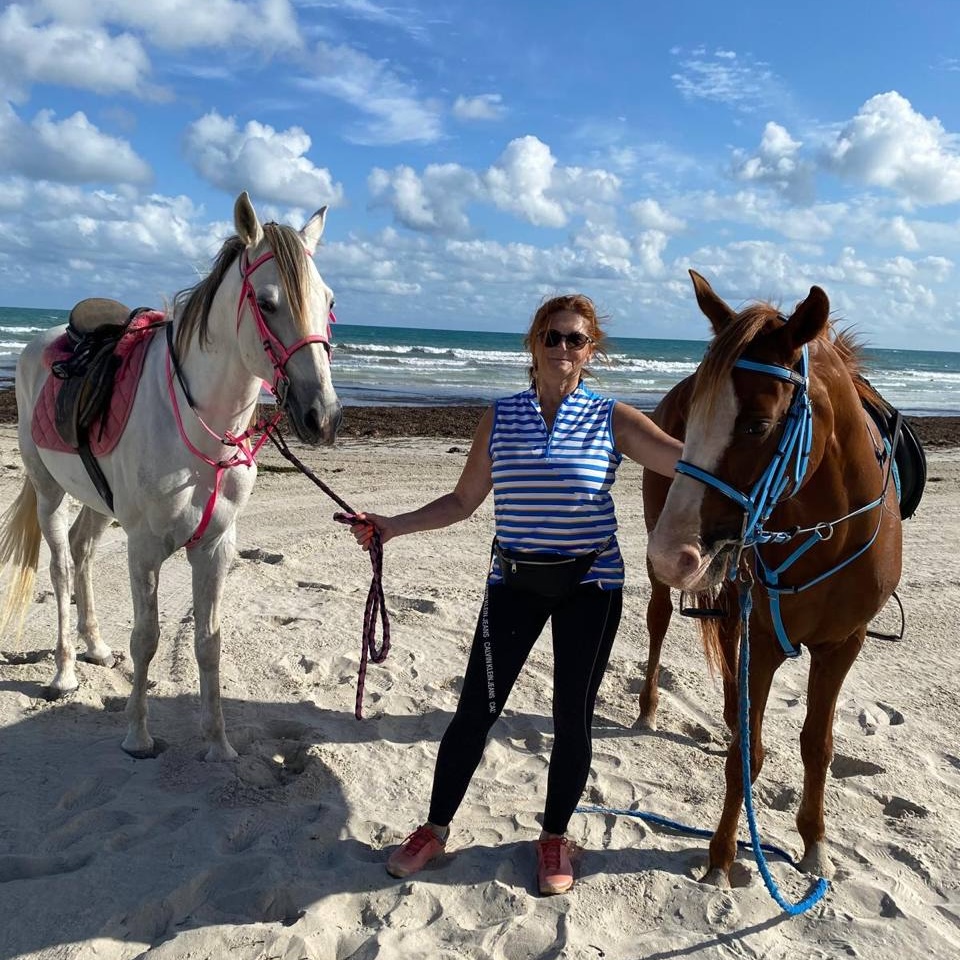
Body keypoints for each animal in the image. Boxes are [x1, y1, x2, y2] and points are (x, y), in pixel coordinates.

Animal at [0, 192, 342, 761]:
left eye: (329, 300)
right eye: (267, 302)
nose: (323, 416)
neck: (199, 427)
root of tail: (39, 344)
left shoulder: (216, 546)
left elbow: (209, 641)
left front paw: (218, 744)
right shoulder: (144, 547)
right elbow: (147, 639)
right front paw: (138, 737)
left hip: (98, 503)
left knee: (84, 551)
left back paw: (96, 648)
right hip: (51, 493)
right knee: (62, 567)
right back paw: (65, 672)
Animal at [644, 270, 902, 886]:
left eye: (758, 425)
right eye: (694, 416)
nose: (671, 552)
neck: (828, 532)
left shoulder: (842, 644)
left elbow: (817, 745)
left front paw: (814, 843)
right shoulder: (762, 639)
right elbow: (750, 750)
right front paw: (721, 856)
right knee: (659, 619)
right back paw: (648, 709)